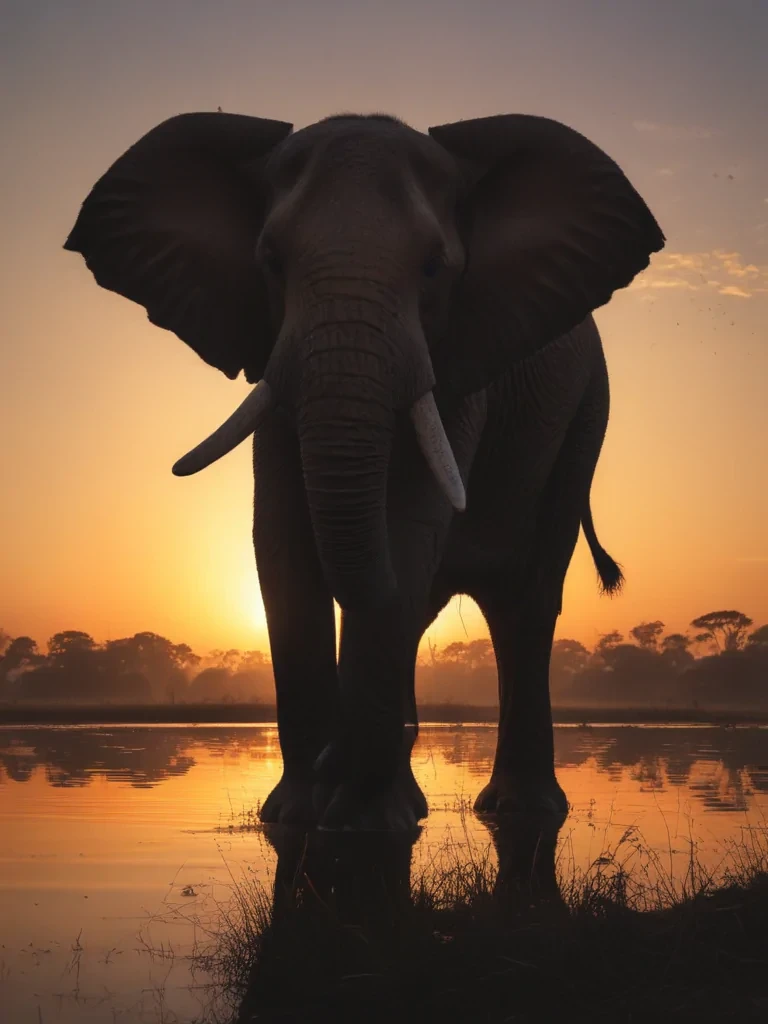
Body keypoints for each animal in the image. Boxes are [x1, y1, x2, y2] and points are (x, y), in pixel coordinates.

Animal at [64, 110, 664, 831]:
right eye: (271, 263)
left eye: (434, 268)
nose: (336, 756)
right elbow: (281, 540)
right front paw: (298, 816)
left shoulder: (461, 362)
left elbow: (405, 522)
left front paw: (362, 822)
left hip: (585, 419)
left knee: (527, 598)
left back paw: (513, 810)